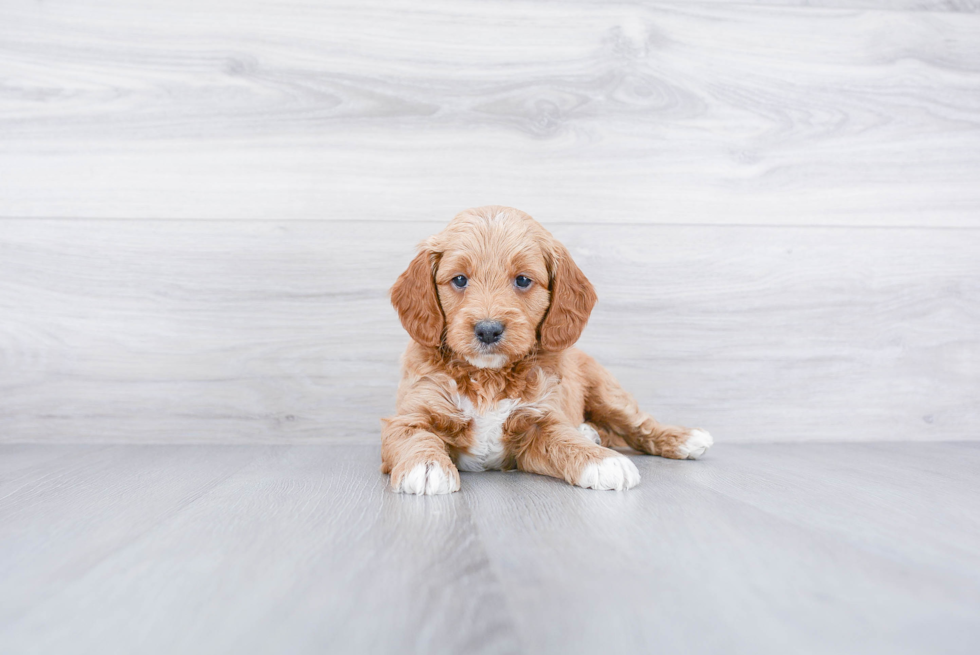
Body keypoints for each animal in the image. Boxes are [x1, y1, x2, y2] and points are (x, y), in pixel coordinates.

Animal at [382, 208, 712, 494]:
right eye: (460, 279)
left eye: (523, 280)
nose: (488, 330)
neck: (488, 375)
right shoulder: (410, 414)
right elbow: (416, 435)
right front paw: (426, 465)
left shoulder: (540, 420)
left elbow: (564, 438)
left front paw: (603, 460)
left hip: (607, 391)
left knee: (638, 423)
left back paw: (683, 438)